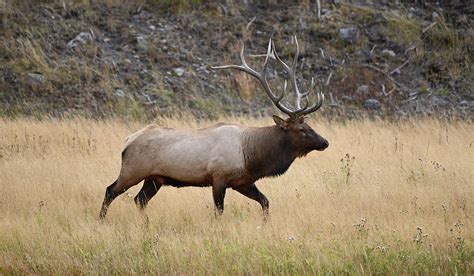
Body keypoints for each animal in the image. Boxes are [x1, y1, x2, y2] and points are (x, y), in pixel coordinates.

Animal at [99, 37, 330, 220]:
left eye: (309, 125)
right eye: (301, 129)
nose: (325, 142)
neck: (252, 156)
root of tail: (127, 141)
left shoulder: (242, 182)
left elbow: (265, 201)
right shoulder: (219, 177)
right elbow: (219, 211)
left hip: (154, 178)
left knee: (140, 200)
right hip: (132, 170)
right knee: (110, 190)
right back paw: (101, 220)